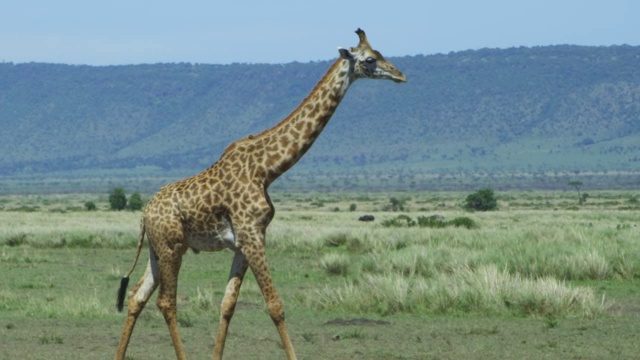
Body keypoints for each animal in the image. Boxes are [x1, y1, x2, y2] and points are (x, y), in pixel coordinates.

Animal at [114, 28, 404, 360]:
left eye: (380, 54)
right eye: (369, 59)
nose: (400, 75)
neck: (267, 169)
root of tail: (144, 214)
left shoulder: (244, 241)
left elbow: (228, 304)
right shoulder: (253, 235)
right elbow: (275, 305)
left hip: (157, 249)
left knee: (137, 296)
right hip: (172, 246)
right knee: (165, 301)